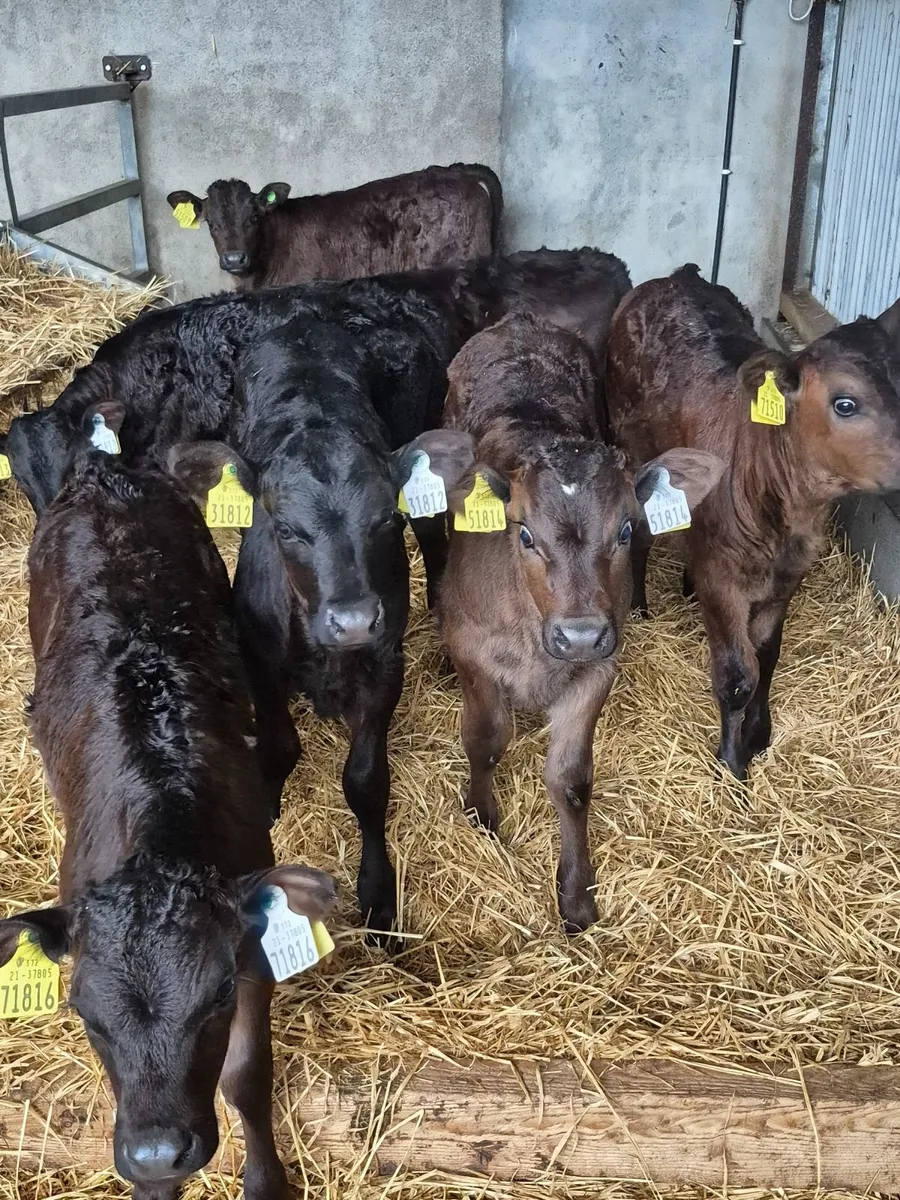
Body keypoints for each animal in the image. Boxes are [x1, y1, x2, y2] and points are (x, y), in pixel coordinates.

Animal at [0, 448, 336, 1199]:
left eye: (215, 997)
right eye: (83, 1014)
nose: (158, 1152)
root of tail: (105, 470)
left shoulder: (248, 953)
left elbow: (245, 1080)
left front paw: (264, 1180)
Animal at [171, 317, 477, 941]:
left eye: (386, 518)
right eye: (285, 528)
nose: (354, 620)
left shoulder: (385, 664)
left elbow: (365, 779)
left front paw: (378, 894)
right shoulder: (258, 657)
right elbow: (280, 746)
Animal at [437, 313, 723, 932]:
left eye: (625, 528)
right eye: (523, 532)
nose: (580, 634)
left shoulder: (598, 668)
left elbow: (569, 781)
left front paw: (576, 894)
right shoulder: (472, 652)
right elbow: (485, 742)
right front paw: (483, 814)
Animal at [605, 264, 900, 780]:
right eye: (845, 403)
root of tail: (676, 276)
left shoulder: (787, 577)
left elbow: (767, 654)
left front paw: (758, 732)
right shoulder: (723, 580)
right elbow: (737, 675)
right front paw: (732, 761)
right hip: (632, 448)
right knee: (640, 531)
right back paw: (639, 603)